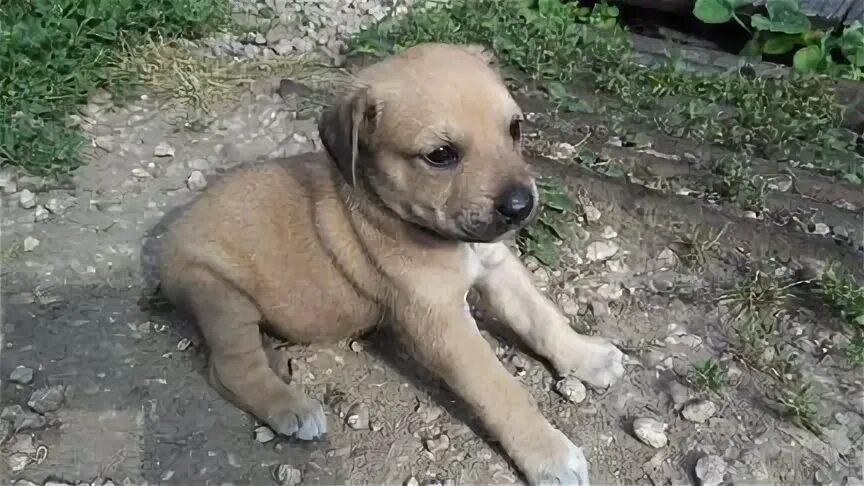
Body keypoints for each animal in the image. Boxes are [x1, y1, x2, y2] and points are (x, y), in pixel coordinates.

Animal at [157, 42, 620, 486]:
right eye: (440, 155)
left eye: (514, 129)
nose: (522, 206)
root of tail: (167, 237)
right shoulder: (440, 321)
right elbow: (499, 386)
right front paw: (549, 453)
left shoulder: (496, 265)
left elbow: (541, 317)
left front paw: (586, 356)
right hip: (221, 296)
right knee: (230, 369)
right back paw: (292, 408)